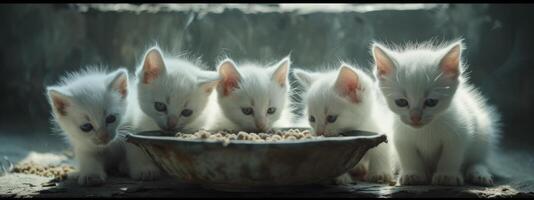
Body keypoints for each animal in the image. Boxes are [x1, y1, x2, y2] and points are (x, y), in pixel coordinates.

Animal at [122, 46, 219, 180]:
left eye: (186, 112)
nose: (172, 124)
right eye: (160, 106)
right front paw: (144, 169)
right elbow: (133, 147)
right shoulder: (131, 119)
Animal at [372, 40, 502, 186]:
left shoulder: (459, 132)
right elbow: (409, 156)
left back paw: (479, 173)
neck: (425, 130)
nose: (415, 118)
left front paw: (446, 176)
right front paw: (413, 174)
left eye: (431, 102)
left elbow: (450, 156)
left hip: (483, 134)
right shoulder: (401, 137)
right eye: (401, 102)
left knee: (479, 160)